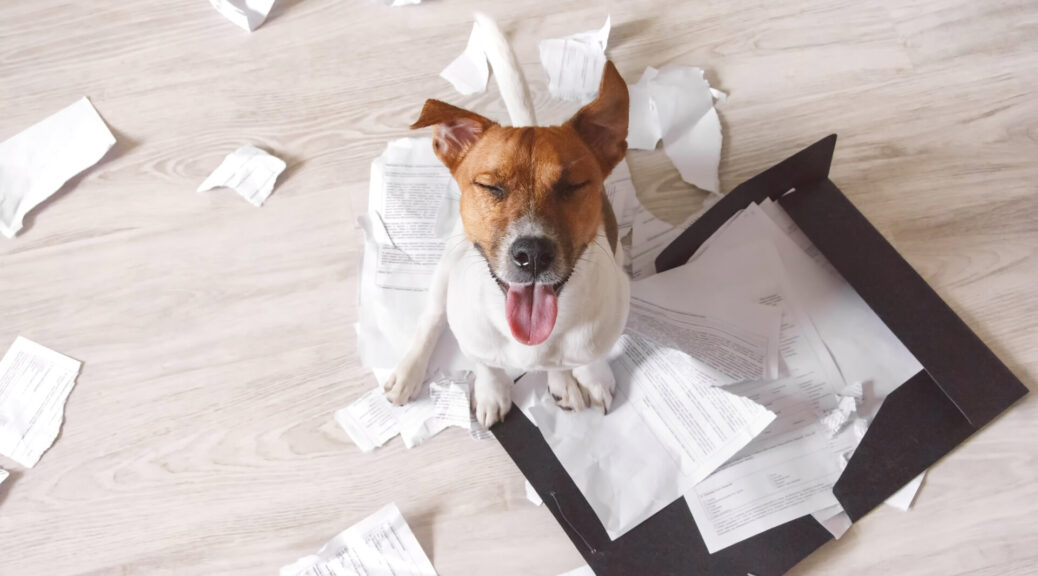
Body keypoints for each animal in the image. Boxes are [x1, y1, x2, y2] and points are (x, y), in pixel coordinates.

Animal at [379, 15, 626, 427]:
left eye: (572, 186)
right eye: (491, 187)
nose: (533, 254)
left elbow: (587, 358)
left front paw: (588, 378)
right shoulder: (477, 342)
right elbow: (487, 366)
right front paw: (493, 393)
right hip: (446, 267)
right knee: (432, 318)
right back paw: (409, 371)